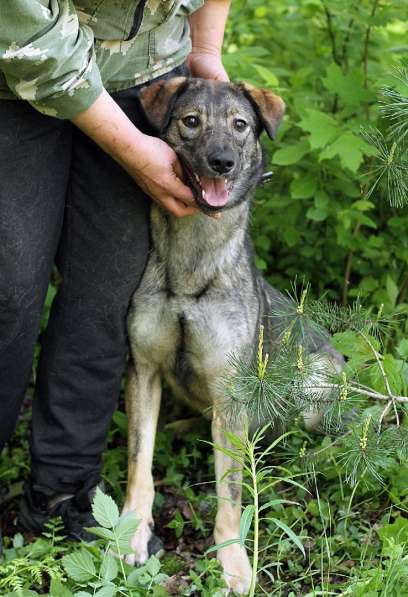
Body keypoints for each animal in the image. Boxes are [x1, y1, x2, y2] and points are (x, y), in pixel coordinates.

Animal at [122, 78, 344, 592]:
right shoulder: (143, 370)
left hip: (314, 385)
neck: (191, 268)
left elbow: (231, 494)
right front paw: (131, 533)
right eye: (191, 121)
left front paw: (234, 565)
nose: (222, 160)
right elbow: (139, 463)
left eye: (240, 125)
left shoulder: (231, 391)